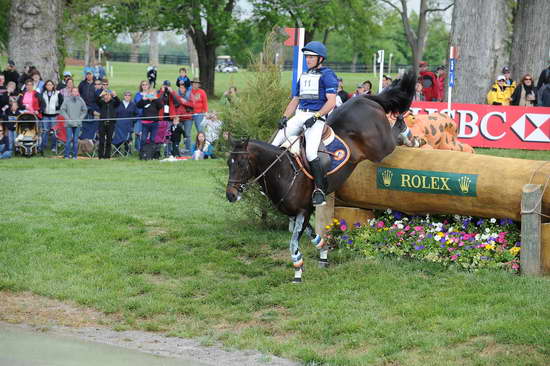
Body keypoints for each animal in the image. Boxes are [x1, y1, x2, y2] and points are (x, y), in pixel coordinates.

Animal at [226, 71, 416, 284]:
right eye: (228, 164)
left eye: (241, 164)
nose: (230, 195)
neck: (282, 170)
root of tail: (364, 98)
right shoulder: (297, 213)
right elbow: (315, 237)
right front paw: (323, 255)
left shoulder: (303, 211)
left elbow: (293, 244)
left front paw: (298, 273)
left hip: (380, 148)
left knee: (395, 135)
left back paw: (410, 135)